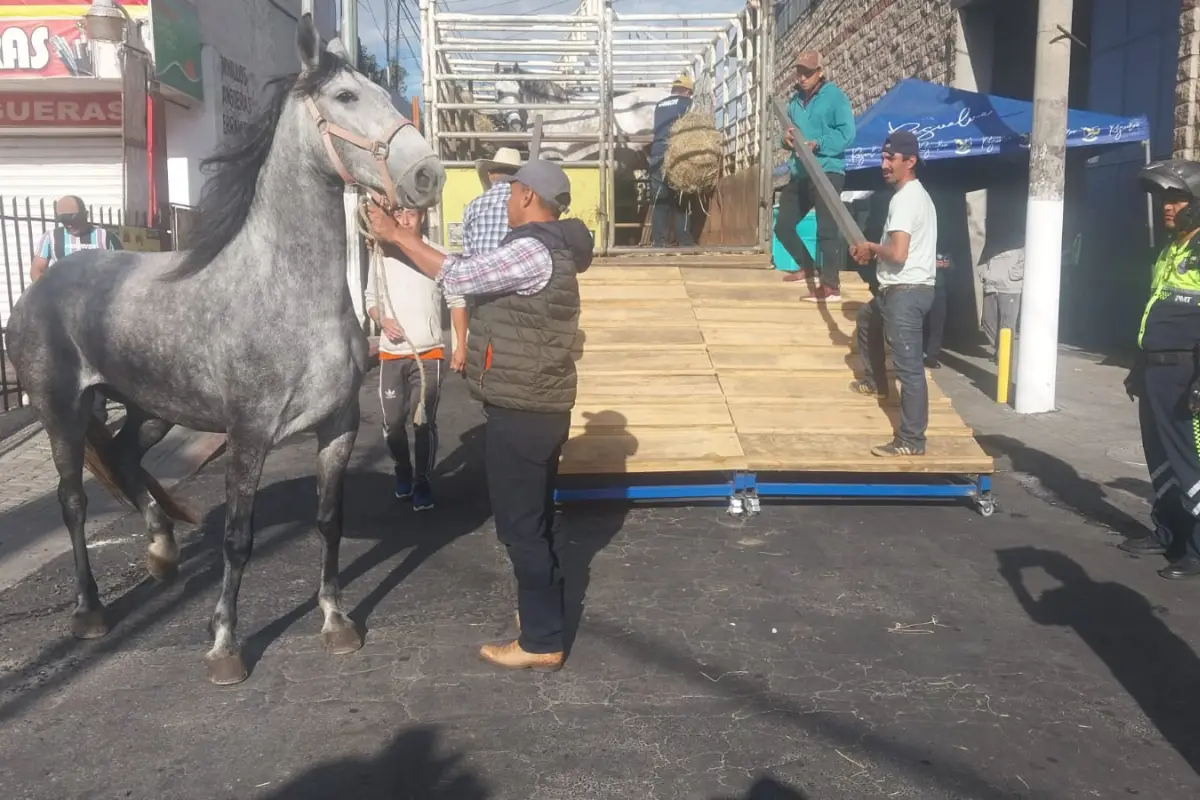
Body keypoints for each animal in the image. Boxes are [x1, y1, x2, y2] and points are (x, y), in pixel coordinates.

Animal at [5, 15, 446, 686]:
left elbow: (329, 521)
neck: (285, 294)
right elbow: (238, 538)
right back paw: (90, 612)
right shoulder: (250, 433)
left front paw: (336, 622)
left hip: (151, 408)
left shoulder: (339, 426)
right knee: (74, 501)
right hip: (64, 412)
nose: (429, 175)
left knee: (127, 461)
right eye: (346, 97)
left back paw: (161, 553)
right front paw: (224, 646)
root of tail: (41, 288)